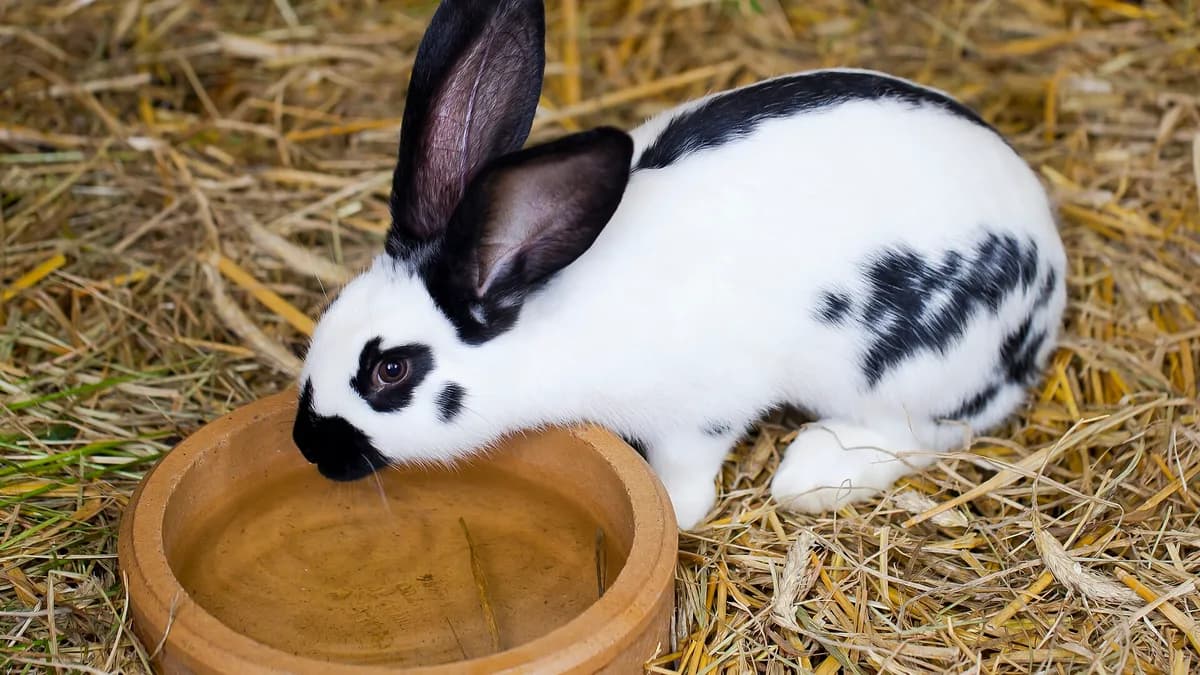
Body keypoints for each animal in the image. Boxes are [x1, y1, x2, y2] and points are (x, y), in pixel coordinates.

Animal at [291, 0, 1067, 530]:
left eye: (391, 371)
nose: (308, 445)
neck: (545, 317)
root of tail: (1050, 275)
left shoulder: (705, 411)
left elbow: (686, 472)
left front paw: (672, 508)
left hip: (900, 372)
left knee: (929, 432)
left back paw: (814, 471)